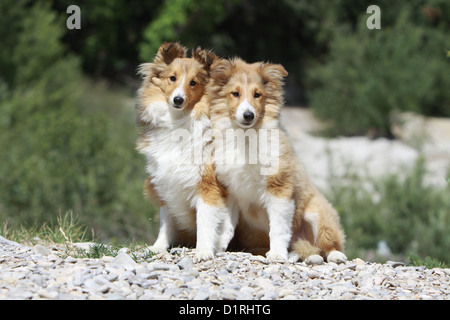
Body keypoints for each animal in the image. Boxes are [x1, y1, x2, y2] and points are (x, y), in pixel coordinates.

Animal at [135, 42, 237, 260]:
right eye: (172, 78)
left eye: (193, 82)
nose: (178, 100)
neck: (179, 120)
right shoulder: (165, 182)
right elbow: (166, 221)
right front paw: (158, 247)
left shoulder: (208, 185)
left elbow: (206, 221)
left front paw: (204, 251)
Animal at [207, 57, 348, 262]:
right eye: (235, 93)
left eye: (257, 94)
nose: (248, 115)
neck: (246, 137)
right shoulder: (230, 190)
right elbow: (226, 225)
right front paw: (216, 247)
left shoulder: (280, 188)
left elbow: (279, 228)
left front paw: (276, 254)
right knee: (305, 249)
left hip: (318, 214)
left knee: (326, 243)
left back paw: (334, 255)